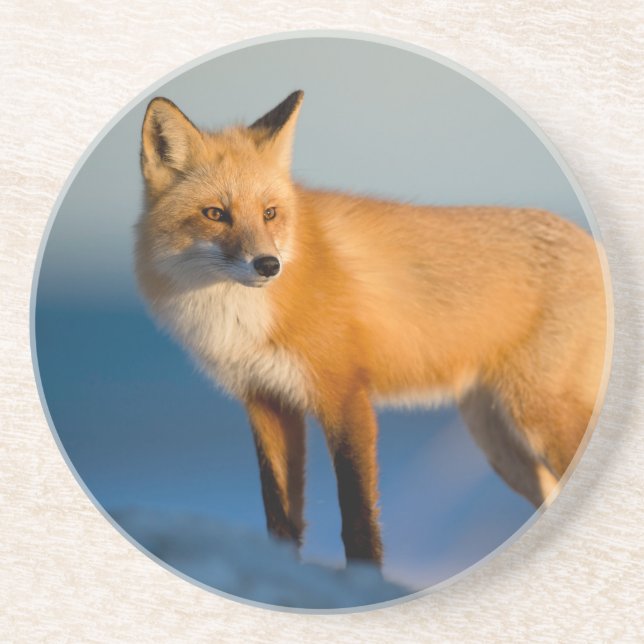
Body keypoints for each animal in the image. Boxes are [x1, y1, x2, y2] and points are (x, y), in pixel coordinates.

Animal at [135, 90, 608, 565]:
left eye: (269, 213)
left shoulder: (345, 394)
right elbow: (280, 516)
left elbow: (358, 517)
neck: (240, 318)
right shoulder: (267, 401)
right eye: (215, 213)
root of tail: (592, 244)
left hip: (537, 416)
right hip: (499, 441)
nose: (269, 265)